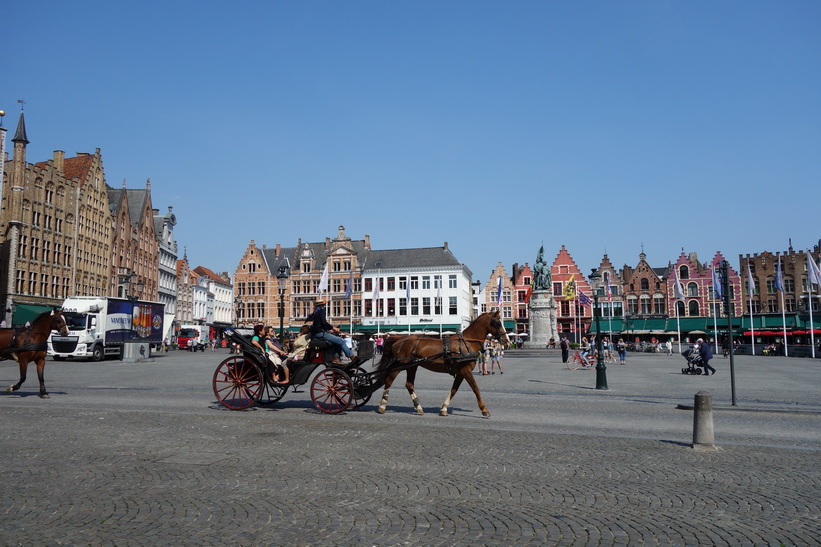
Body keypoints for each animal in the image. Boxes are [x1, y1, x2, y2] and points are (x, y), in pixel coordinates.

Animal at [376, 310, 506, 418]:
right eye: (498, 323)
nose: (506, 340)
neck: (467, 343)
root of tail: (399, 339)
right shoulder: (466, 371)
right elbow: (476, 389)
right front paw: (484, 410)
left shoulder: (461, 373)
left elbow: (454, 390)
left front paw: (444, 408)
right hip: (400, 366)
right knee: (389, 381)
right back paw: (382, 406)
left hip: (412, 366)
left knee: (409, 385)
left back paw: (418, 407)